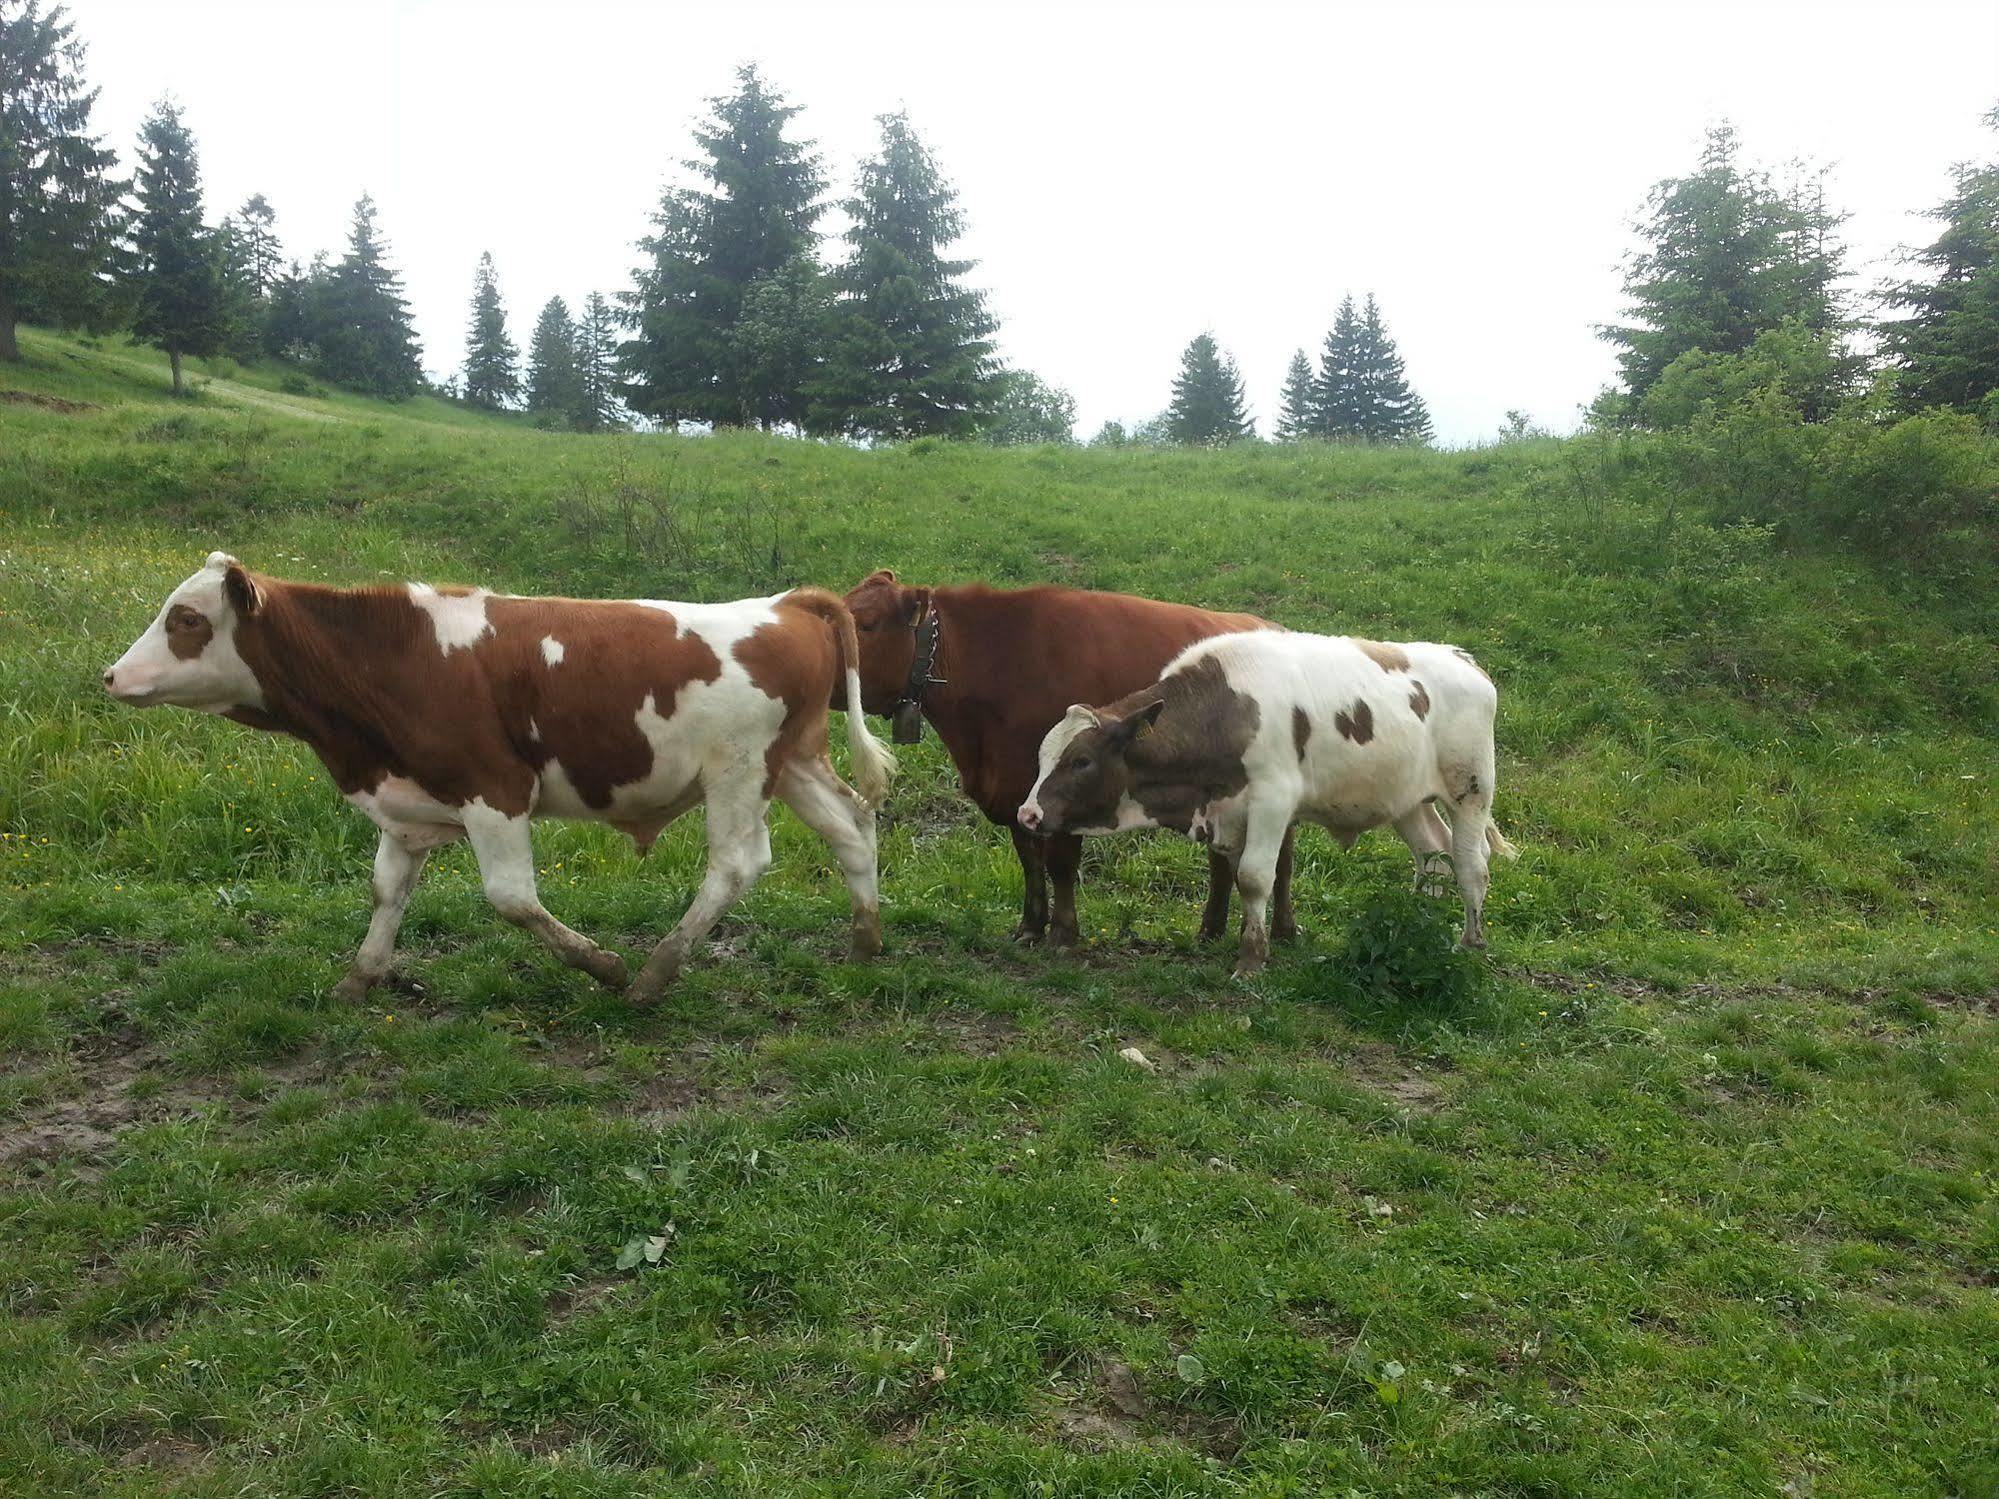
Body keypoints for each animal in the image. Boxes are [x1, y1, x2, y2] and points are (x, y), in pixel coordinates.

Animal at [99, 555, 899, 1011]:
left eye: (187, 619)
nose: (111, 676)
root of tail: (787, 603)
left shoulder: (495, 788)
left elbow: (511, 898)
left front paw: (604, 967)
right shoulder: (404, 801)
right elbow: (386, 893)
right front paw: (359, 979)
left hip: (738, 767)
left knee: (736, 864)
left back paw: (653, 975)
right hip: (794, 760)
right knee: (852, 826)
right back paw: (864, 941)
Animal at [839, 567, 1295, 943]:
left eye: (868, 624)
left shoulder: (1067, 792)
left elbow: (1059, 862)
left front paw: (1062, 932)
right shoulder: (1018, 793)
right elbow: (1029, 859)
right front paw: (1030, 925)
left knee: (1281, 861)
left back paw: (1283, 930)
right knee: (1223, 858)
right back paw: (1210, 930)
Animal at [1015, 627, 1511, 979]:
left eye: (1081, 760)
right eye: (1040, 757)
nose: (1028, 814)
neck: (1221, 712)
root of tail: (1462, 659)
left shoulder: (1273, 800)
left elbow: (1254, 878)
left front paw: (1251, 961)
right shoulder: (1230, 814)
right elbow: (1238, 876)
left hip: (1472, 790)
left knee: (1472, 864)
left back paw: (1470, 943)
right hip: (1406, 799)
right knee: (1433, 856)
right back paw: (1419, 923)